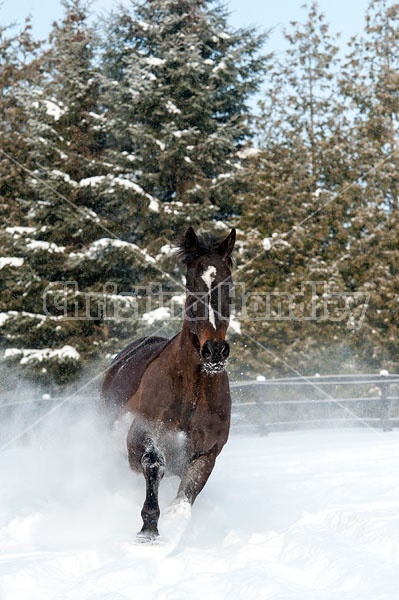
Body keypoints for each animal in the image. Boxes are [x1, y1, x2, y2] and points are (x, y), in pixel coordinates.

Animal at [101, 225, 236, 540]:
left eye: (228, 283)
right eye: (193, 284)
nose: (214, 351)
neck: (192, 392)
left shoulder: (206, 454)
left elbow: (186, 494)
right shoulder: (140, 438)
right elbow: (153, 463)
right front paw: (148, 527)